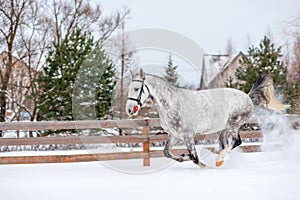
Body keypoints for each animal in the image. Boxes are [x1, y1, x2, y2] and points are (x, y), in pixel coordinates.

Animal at [125, 69, 288, 167]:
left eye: (136, 88)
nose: (129, 110)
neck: (171, 103)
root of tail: (247, 96)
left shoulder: (187, 135)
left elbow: (195, 159)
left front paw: (202, 165)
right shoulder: (175, 135)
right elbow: (167, 152)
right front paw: (182, 157)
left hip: (234, 124)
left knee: (237, 141)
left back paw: (219, 160)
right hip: (223, 129)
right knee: (226, 144)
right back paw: (221, 160)